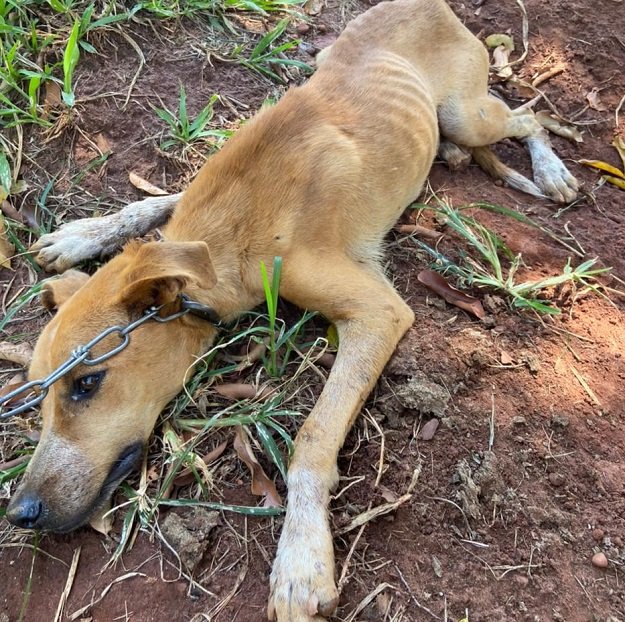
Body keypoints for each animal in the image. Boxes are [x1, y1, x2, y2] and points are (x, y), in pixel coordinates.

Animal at [5, 0, 578, 619]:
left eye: (87, 384)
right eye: (37, 396)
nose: (20, 513)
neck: (230, 233)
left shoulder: (380, 312)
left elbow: (313, 437)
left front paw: (301, 559)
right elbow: (154, 203)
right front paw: (87, 234)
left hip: (468, 113)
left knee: (529, 116)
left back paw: (551, 171)